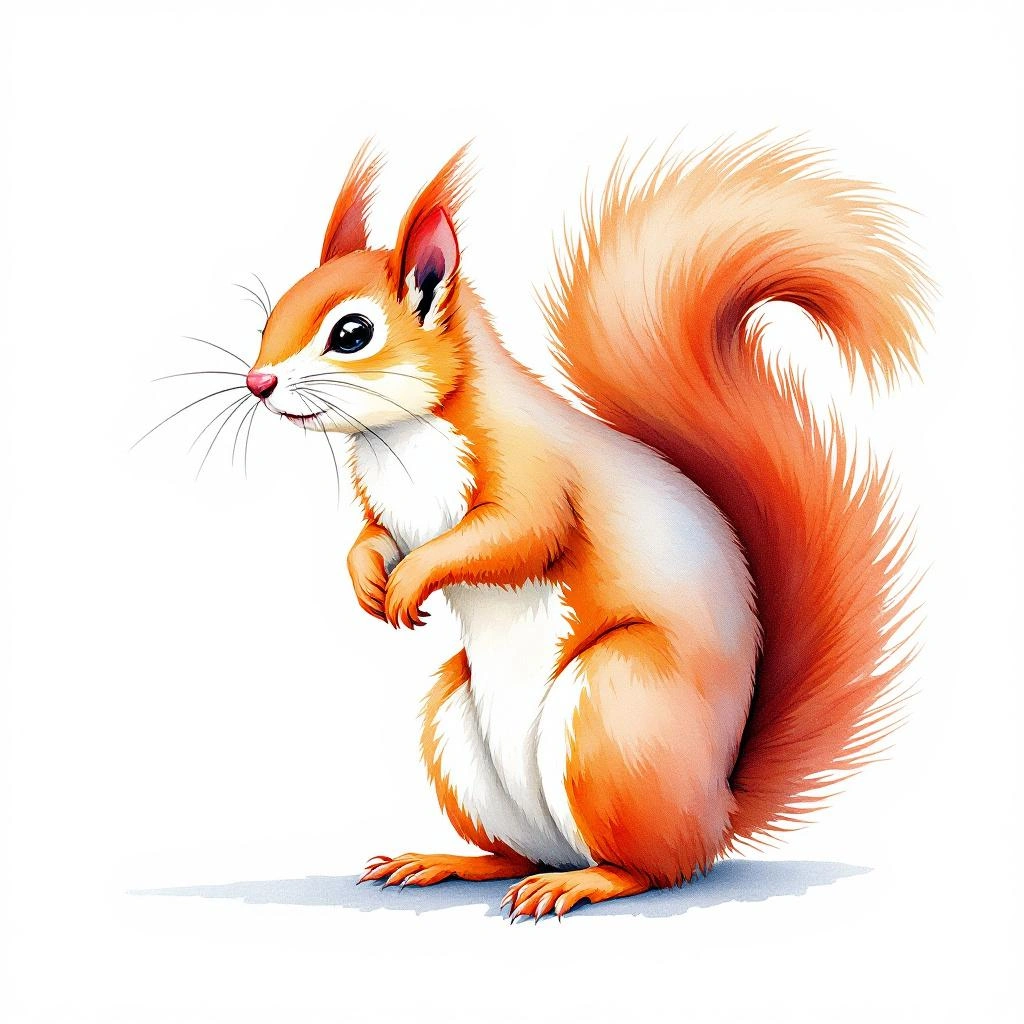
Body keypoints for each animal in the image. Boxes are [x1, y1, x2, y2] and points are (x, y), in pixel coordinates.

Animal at [243, 137, 928, 920]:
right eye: (267, 318)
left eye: (351, 334)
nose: (257, 383)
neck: (402, 436)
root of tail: (716, 810)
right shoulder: (390, 512)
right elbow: (374, 539)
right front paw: (365, 578)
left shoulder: (535, 474)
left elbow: (511, 535)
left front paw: (411, 581)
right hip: (459, 728)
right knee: (519, 853)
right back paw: (451, 861)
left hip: (614, 708)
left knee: (653, 869)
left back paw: (584, 883)